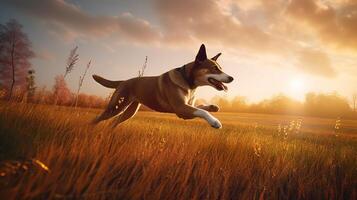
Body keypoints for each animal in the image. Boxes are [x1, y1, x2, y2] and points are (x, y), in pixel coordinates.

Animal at [92, 44, 234, 129]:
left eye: (220, 68)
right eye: (215, 68)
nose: (232, 78)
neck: (188, 81)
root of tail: (123, 81)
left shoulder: (188, 106)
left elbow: (201, 107)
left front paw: (213, 107)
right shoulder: (181, 109)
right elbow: (202, 111)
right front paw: (215, 122)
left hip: (129, 110)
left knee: (114, 122)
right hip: (115, 107)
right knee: (97, 119)